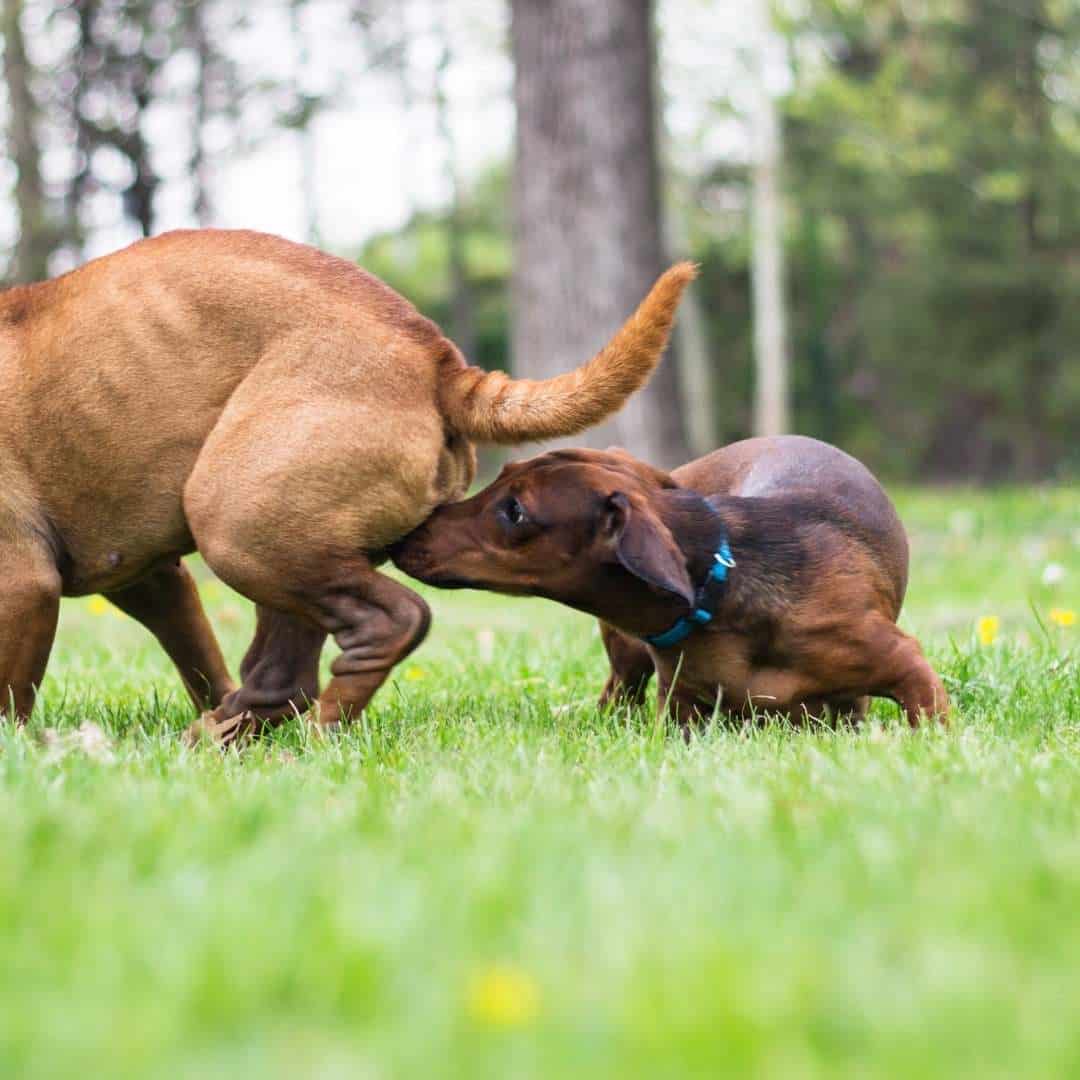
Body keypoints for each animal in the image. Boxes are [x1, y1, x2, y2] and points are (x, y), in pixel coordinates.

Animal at [0, 223, 691, 738]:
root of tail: (435, 358)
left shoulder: (23, 583)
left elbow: (10, 697)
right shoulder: (150, 580)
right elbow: (197, 653)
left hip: (235, 522)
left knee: (388, 623)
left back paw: (312, 734)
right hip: (277, 541)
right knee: (281, 672)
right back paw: (223, 736)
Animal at [393, 434, 950, 730]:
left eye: (515, 511)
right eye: (503, 470)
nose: (407, 531)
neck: (719, 597)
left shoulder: (906, 664)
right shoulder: (682, 709)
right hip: (627, 656)